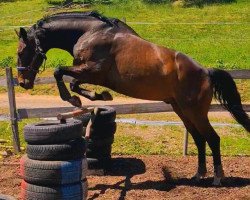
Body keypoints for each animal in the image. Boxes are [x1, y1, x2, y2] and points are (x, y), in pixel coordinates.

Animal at [16, 10, 249, 186]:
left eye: (21, 51)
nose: (22, 82)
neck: (90, 33)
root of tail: (206, 72)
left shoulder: (92, 71)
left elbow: (59, 72)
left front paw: (77, 99)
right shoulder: (87, 73)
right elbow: (73, 83)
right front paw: (98, 96)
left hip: (196, 112)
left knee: (213, 138)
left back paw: (217, 178)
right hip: (181, 110)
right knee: (200, 139)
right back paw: (198, 175)